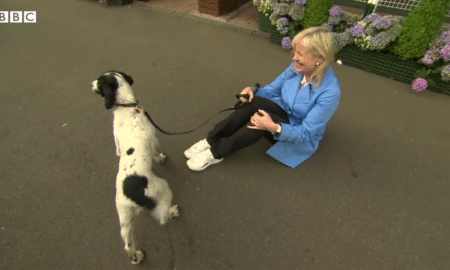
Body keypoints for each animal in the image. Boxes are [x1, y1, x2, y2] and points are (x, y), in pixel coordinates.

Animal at [90, 70, 178, 264]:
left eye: (99, 81)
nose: (90, 84)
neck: (127, 106)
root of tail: (132, 198)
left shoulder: (117, 142)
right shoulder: (153, 139)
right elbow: (156, 153)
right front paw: (161, 159)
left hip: (124, 217)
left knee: (128, 245)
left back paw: (136, 258)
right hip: (163, 189)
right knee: (162, 218)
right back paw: (172, 212)